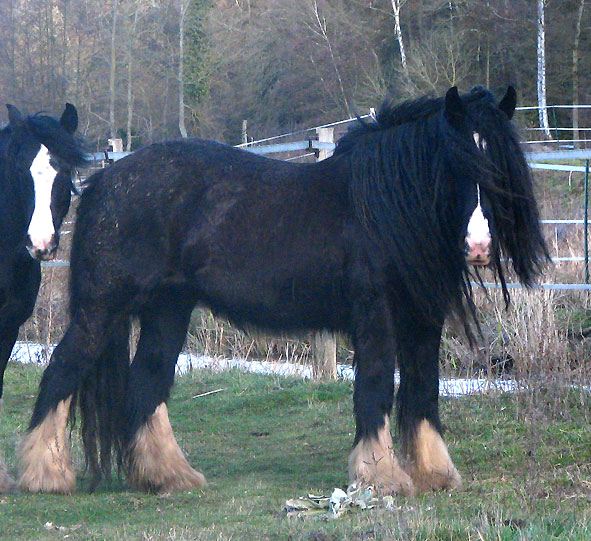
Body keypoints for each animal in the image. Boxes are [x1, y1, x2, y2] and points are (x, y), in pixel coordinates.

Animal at [19, 86, 552, 496]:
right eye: (458, 166)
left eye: (499, 167)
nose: (479, 247)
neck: (383, 207)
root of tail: (103, 181)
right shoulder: (374, 316)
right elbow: (376, 387)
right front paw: (380, 478)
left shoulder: (422, 320)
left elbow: (423, 391)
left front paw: (434, 473)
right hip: (102, 308)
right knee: (62, 372)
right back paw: (45, 476)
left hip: (167, 309)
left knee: (146, 383)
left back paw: (168, 477)